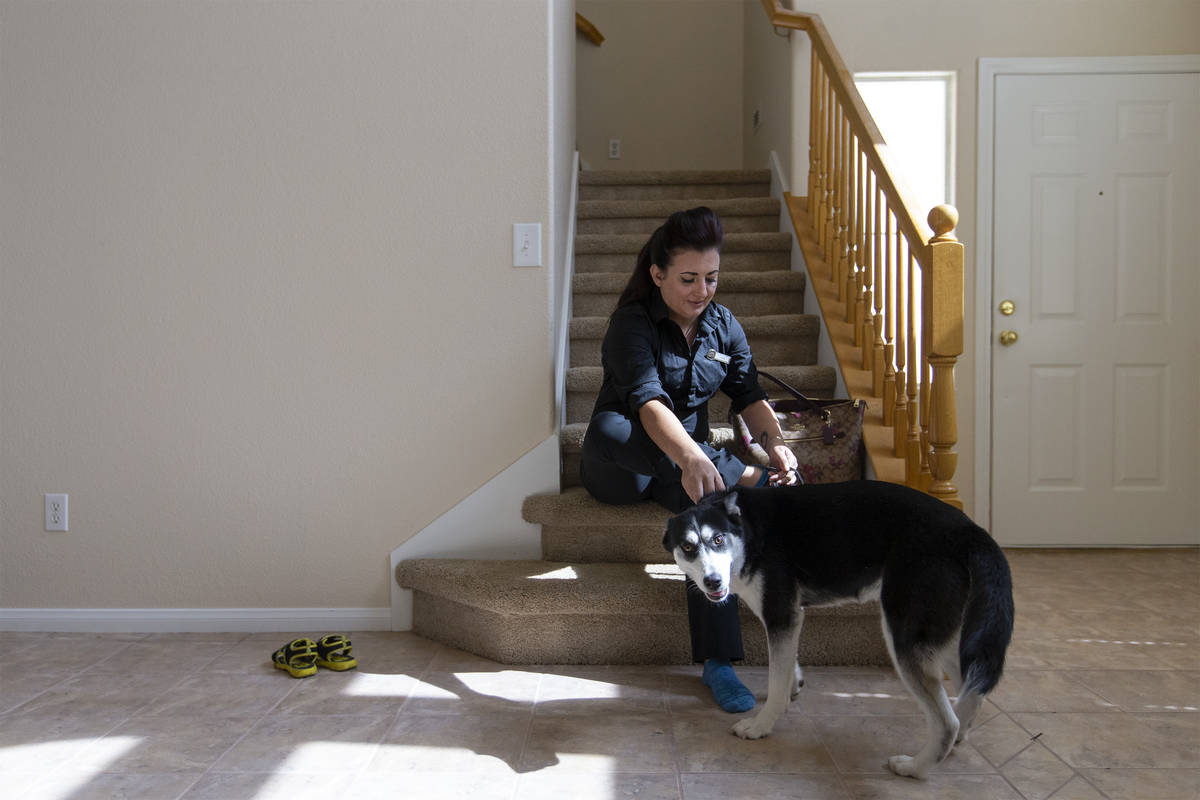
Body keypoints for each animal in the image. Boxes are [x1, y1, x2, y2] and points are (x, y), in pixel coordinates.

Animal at [667, 479, 1012, 777]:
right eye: (687, 547)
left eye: (718, 540)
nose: (713, 582)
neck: (749, 530)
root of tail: (970, 531)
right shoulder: (790, 618)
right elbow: (787, 665)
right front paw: (794, 685)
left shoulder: (780, 615)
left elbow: (776, 682)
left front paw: (761, 726)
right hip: (946, 638)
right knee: (973, 691)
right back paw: (959, 738)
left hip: (904, 636)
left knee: (945, 721)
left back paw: (914, 767)